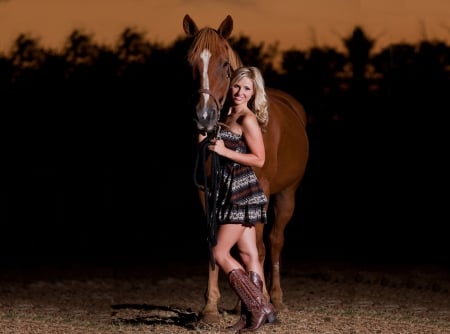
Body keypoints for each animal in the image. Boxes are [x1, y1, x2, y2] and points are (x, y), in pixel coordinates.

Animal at [183, 15, 310, 324]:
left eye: (224, 64)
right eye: (189, 62)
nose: (204, 117)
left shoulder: (262, 190)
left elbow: (261, 246)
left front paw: (263, 300)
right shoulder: (206, 191)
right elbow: (214, 242)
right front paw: (210, 307)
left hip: (286, 195)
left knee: (274, 242)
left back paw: (275, 298)